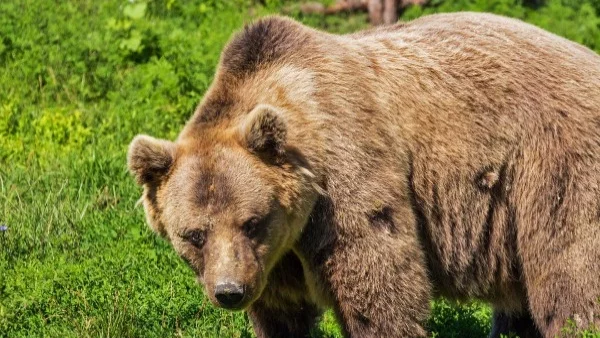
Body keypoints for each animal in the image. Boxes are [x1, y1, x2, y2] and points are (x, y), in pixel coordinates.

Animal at [126, 11, 600, 338]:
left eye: (251, 221)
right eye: (194, 234)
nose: (229, 291)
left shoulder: (347, 174)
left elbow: (379, 282)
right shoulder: (275, 260)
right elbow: (282, 312)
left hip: (554, 167)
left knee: (569, 275)